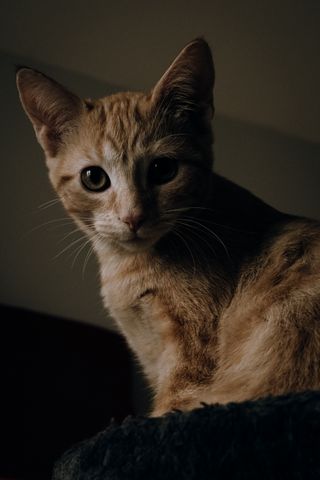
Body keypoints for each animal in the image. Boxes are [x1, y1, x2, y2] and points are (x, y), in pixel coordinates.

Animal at [16, 39, 320, 414]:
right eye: (93, 178)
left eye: (163, 170)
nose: (133, 216)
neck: (128, 268)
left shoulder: (189, 361)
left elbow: (169, 406)